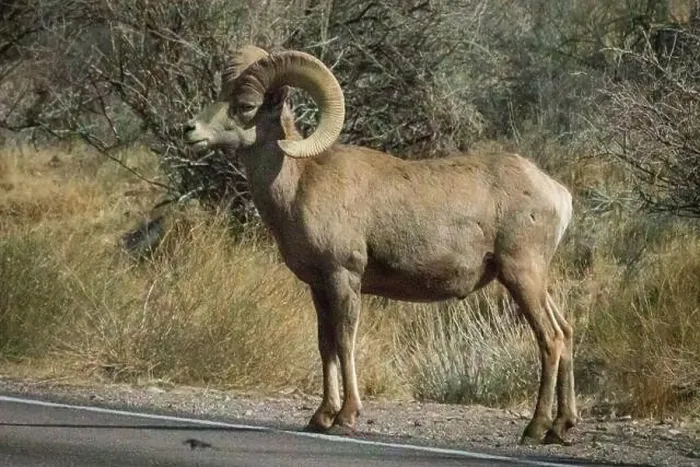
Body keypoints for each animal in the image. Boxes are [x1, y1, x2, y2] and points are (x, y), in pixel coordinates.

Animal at [182, 46, 578, 446]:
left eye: (245, 105)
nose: (190, 130)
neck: (299, 183)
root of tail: (557, 193)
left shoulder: (344, 277)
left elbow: (344, 342)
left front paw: (346, 417)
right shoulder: (319, 287)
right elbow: (325, 345)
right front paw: (320, 417)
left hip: (521, 275)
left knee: (549, 338)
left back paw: (535, 428)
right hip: (533, 280)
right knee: (565, 332)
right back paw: (561, 427)